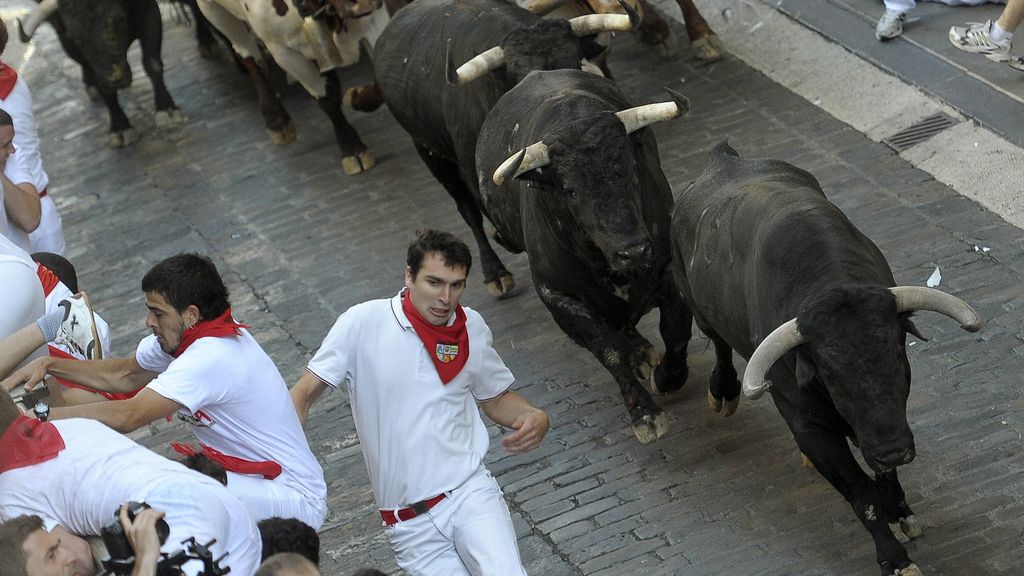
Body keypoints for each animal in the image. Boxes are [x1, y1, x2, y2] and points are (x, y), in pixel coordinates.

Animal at [475, 69, 692, 440]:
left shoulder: (667, 268)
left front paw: (667, 378)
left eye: (631, 169)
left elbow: (676, 329)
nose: (633, 251)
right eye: (570, 189)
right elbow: (608, 350)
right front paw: (644, 413)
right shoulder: (560, 298)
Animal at [671, 141, 983, 569]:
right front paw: (895, 559)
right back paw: (723, 392)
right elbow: (862, 495)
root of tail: (721, 158)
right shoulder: (808, 425)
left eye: (897, 354)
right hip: (699, 309)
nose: (895, 449)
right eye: (829, 372)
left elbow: (881, 473)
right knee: (718, 344)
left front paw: (901, 511)